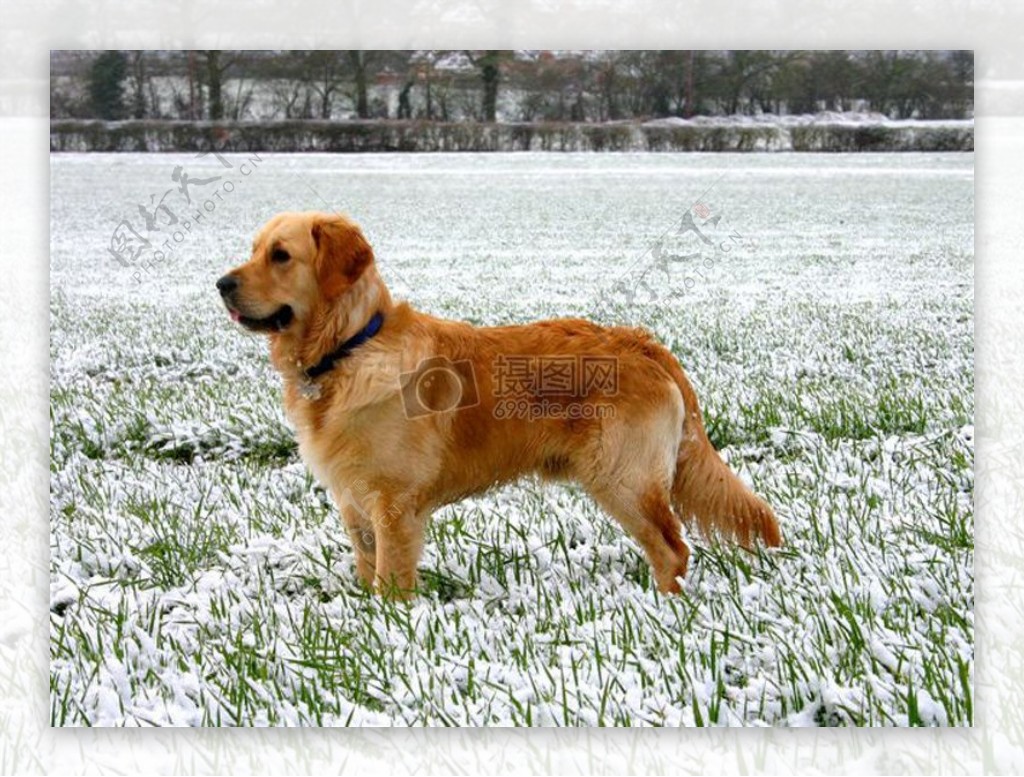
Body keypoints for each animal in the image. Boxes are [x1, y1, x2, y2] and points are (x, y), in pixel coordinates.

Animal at [214, 212, 774, 601]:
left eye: (281, 256)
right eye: (255, 250)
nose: (222, 284)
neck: (349, 346)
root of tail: (642, 342)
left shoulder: (393, 504)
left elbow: (391, 581)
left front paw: (389, 629)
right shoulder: (354, 503)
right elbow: (367, 569)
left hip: (622, 479)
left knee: (673, 548)